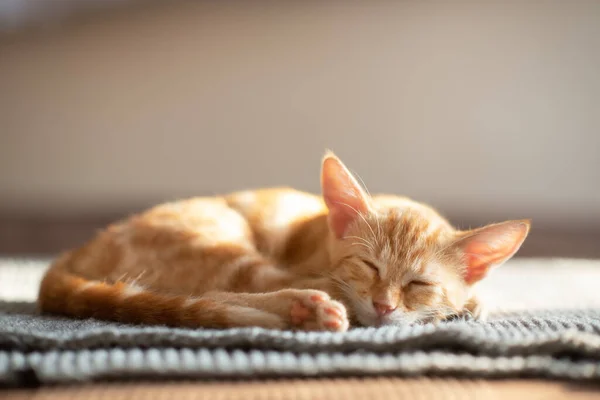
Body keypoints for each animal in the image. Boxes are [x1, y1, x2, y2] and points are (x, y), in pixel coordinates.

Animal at [37, 152, 528, 332]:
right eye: (368, 266)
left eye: (419, 284)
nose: (384, 306)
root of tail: (75, 253)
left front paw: (470, 302)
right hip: (218, 244)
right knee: (210, 294)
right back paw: (301, 309)